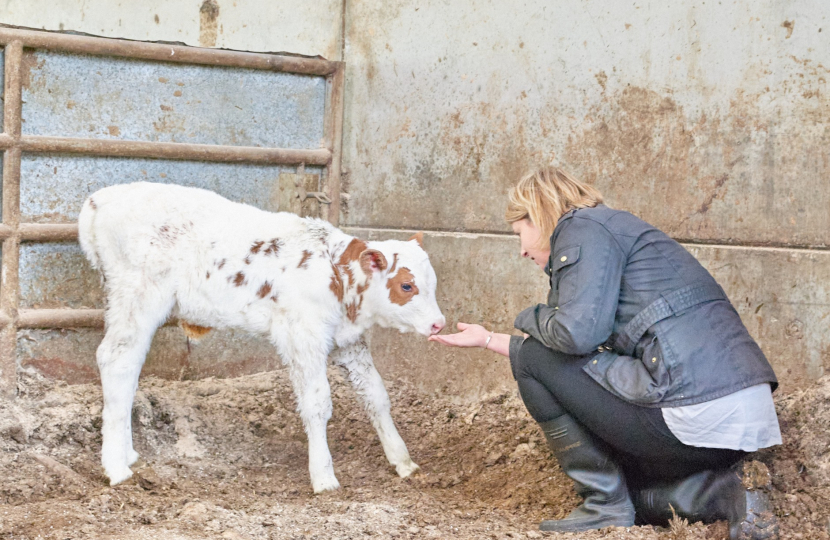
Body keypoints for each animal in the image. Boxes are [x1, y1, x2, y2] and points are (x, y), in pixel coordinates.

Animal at [78, 182, 446, 494]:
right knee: (116, 360)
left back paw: (127, 454)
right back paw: (116, 467)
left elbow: (376, 395)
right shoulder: (303, 337)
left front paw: (402, 460)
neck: (334, 271)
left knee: (128, 368)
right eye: (406, 285)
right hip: (138, 297)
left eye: (432, 282)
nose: (438, 324)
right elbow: (317, 404)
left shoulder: (348, 342)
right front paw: (324, 476)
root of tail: (100, 200)